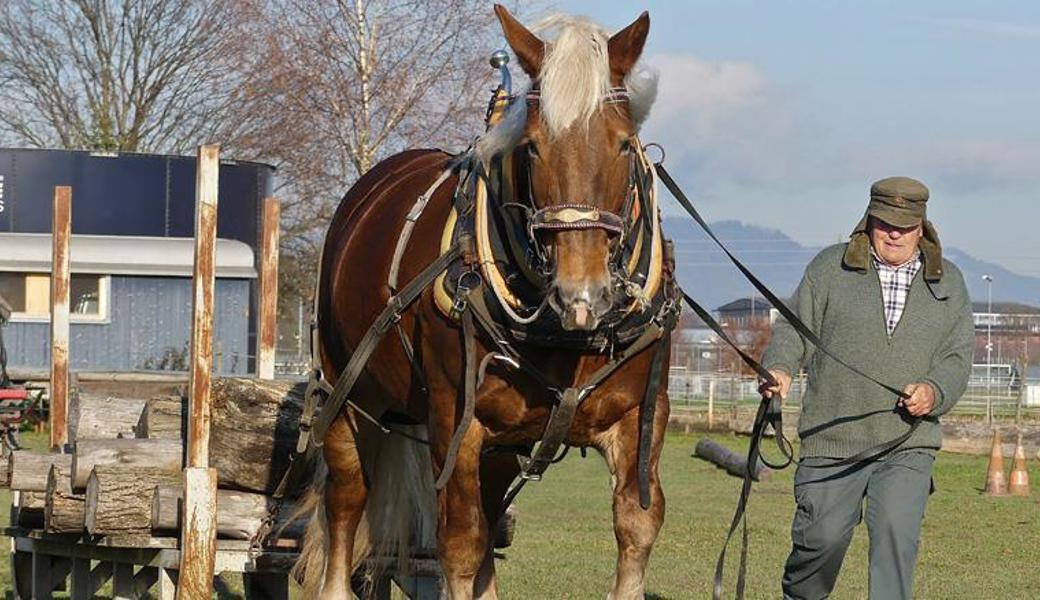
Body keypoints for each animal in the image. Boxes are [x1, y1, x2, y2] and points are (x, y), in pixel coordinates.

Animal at [297, 5, 678, 598]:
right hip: (347, 395)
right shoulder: (457, 422)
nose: (583, 294)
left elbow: (637, 525)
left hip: (502, 442)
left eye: (622, 142)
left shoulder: (642, 416)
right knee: (347, 502)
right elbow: (459, 543)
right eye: (533, 146)